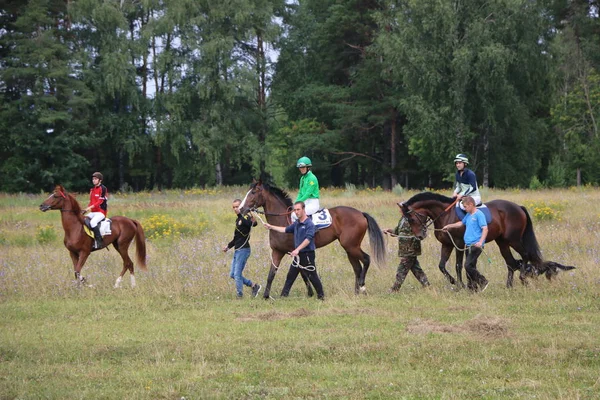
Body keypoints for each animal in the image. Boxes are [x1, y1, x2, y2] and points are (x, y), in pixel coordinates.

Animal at [239, 180, 384, 298]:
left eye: (253, 192)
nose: (241, 209)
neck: (282, 221)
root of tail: (361, 214)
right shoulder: (277, 252)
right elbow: (271, 274)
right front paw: (266, 295)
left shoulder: (296, 252)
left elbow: (301, 273)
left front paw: (309, 292)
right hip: (349, 248)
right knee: (357, 268)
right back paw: (356, 292)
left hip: (351, 246)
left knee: (366, 259)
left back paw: (362, 286)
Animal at [400, 191, 548, 288]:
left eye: (411, 218)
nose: (420, 236)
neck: (446, 214)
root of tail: (519, 207)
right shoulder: (447, 245)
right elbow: (442, 266)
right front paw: (455, 282)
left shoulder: (459, 244)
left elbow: (458, 265)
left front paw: (461, 285)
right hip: (502, 243)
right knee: (510, 262)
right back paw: (509, 286)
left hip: (513, 240)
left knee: (524, 255)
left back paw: (523, 277)